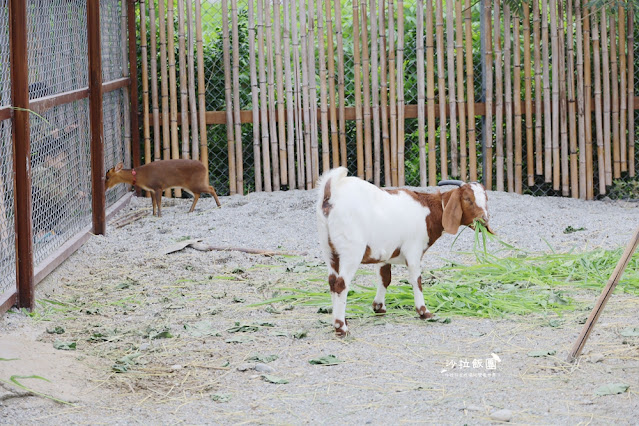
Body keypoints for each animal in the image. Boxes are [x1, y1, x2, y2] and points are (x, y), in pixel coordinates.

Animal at [316, 166, 496, 336]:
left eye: (486, 199)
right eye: (467, 199)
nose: (484, 220)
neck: (429, 211)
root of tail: (331, 195)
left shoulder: (385, 254)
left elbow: (385, 278)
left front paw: (379, 308)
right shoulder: (413, 251)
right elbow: (416, 280)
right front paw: (424, 312)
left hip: (329, 251)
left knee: (332, 281)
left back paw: (340, 319)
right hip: (351, 251)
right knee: (341, 284)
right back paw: (341, 327)